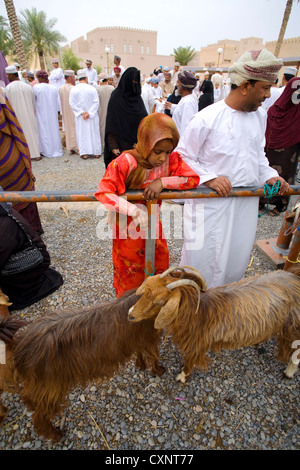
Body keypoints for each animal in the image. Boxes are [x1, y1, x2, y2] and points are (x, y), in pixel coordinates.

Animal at [0, 290, 164, 444]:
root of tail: (19, 344)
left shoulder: (138, 338)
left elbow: (140, 352)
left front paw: (141, 365)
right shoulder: (150, 337)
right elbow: (153, 356)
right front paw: (158, 370)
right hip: (49, 389)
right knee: (39, 418)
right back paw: (56, 435)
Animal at [128, 264, 300, 382]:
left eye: (159, 302)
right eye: (146, 290)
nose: (130, 315)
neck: (198, 313)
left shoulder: (196, 345)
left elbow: (189, 362)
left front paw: (181, 377)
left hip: (293, 328)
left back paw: (288, 372)